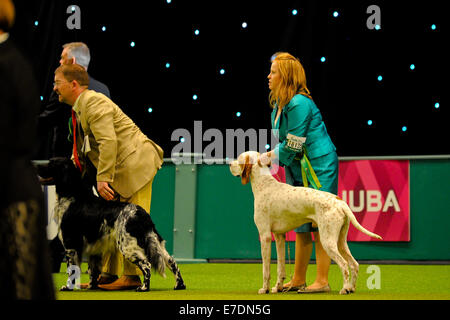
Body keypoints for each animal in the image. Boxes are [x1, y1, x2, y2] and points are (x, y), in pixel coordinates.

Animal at [37, 158, 185, 292]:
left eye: (51, 163)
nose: (37, 166)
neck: (72, 195)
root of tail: (141, 213)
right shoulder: (94, 248)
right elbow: (92, 271)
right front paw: (91, 287)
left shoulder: (71, 244)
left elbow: (72, 270)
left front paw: (68, 287)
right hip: (156, 242)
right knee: (172, 262)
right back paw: (179, 285)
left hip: (128, 247)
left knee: (147, 265)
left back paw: (143, 287)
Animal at [230, 152, 382, 296]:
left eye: (239, 159)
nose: (230, 164)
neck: (264, 184)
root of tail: (339, 201)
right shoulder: (279, 237)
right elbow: (280, 269)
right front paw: (277, 287)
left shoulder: (265, 236)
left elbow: (265, 270)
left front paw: (264, 289)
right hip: (340, 241)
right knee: (354, 264)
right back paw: (351, 288)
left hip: (328, 241)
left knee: (344, 265)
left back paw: (344, 289)